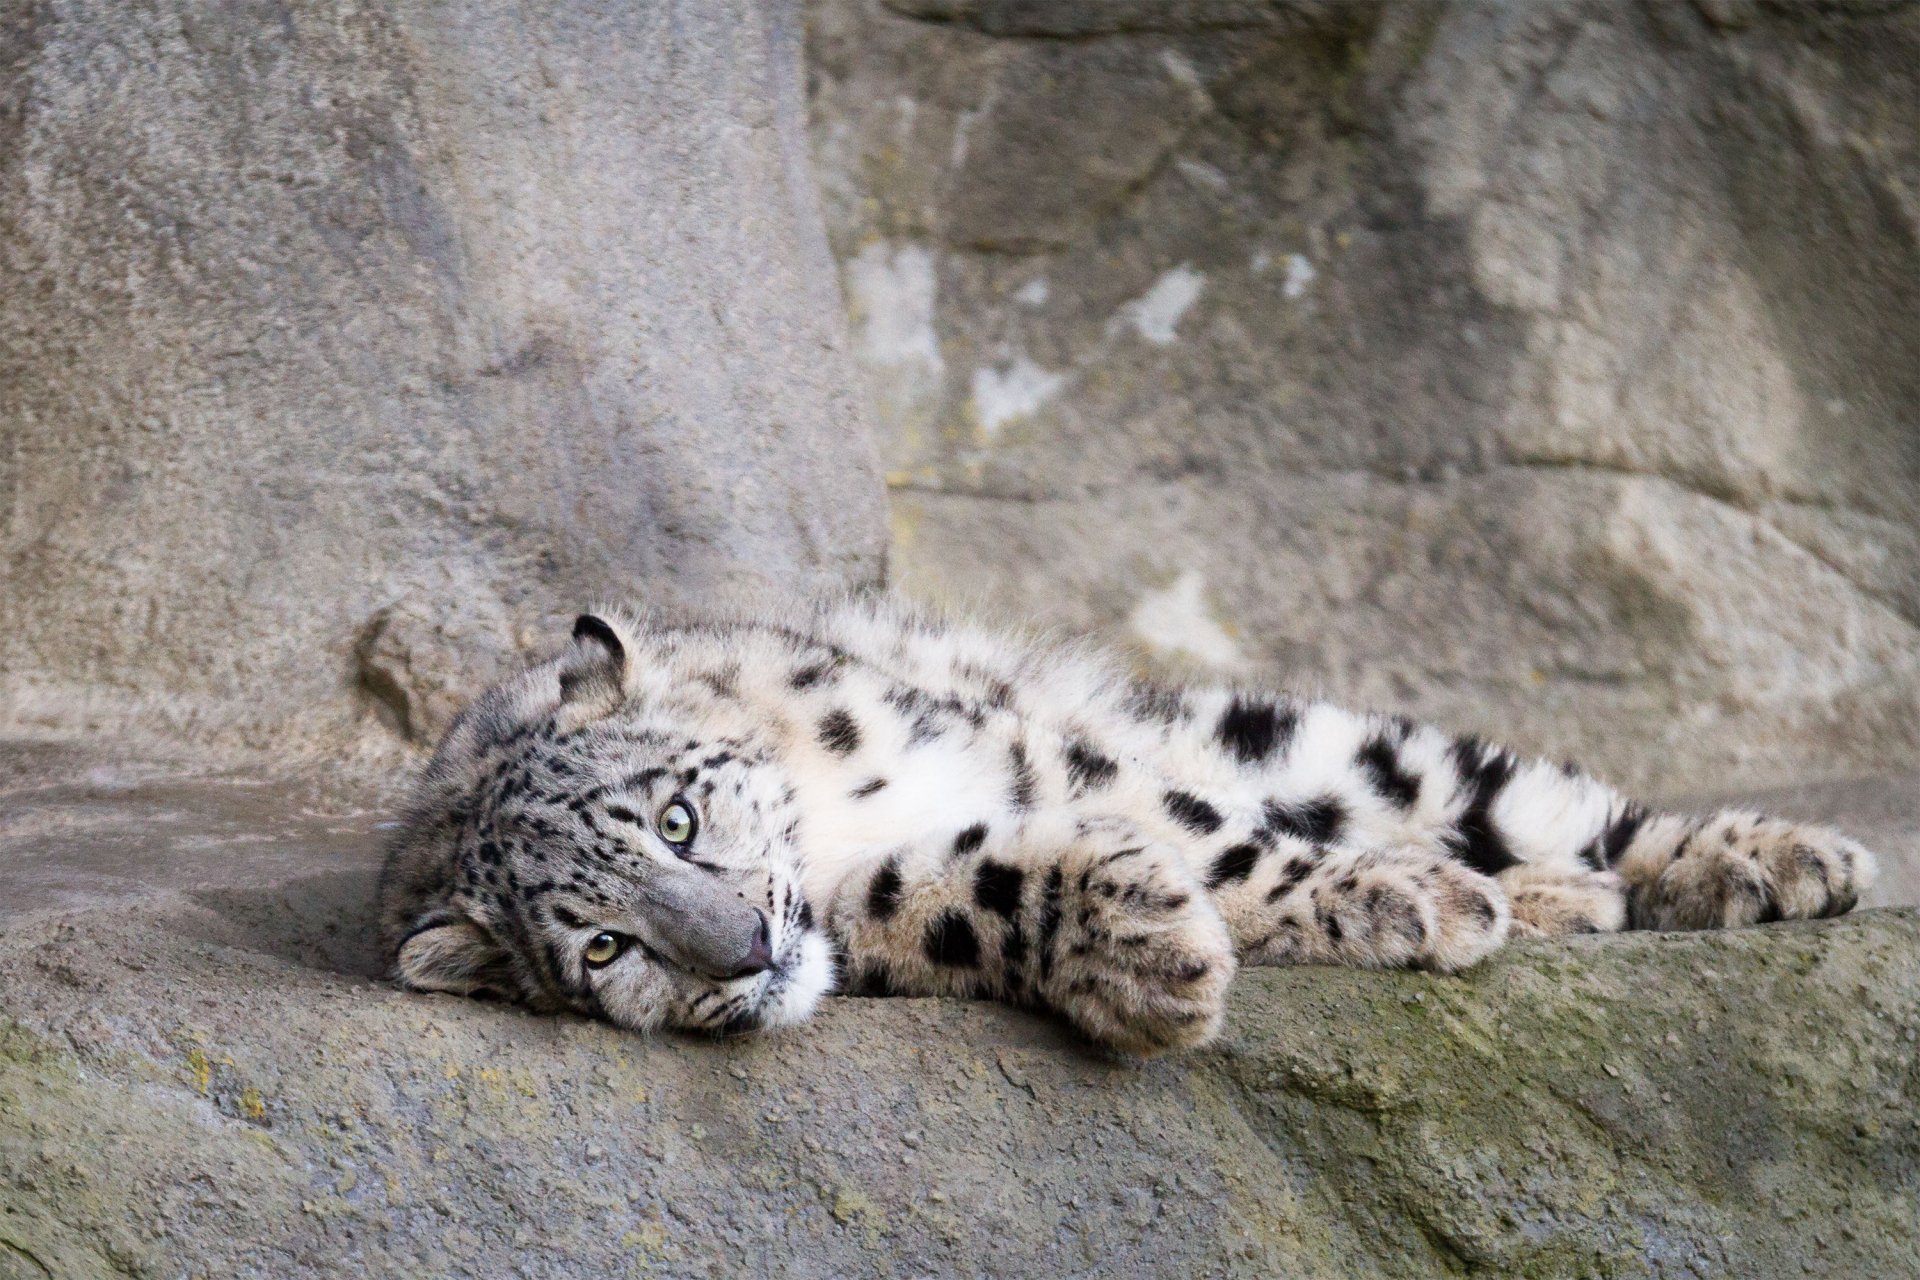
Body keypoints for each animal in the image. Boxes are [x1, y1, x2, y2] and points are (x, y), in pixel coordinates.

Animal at [377, 596, 1877, 1056]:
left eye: (681, 817)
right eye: (601, 952)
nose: (745, 946)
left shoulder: (1038, 747)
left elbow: (1215, 836)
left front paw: (1397, 899)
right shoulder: (879, 902)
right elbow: (968, 887)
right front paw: (1150, 956)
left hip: (1320, 743)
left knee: (1529, 804)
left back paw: (1774, 860)